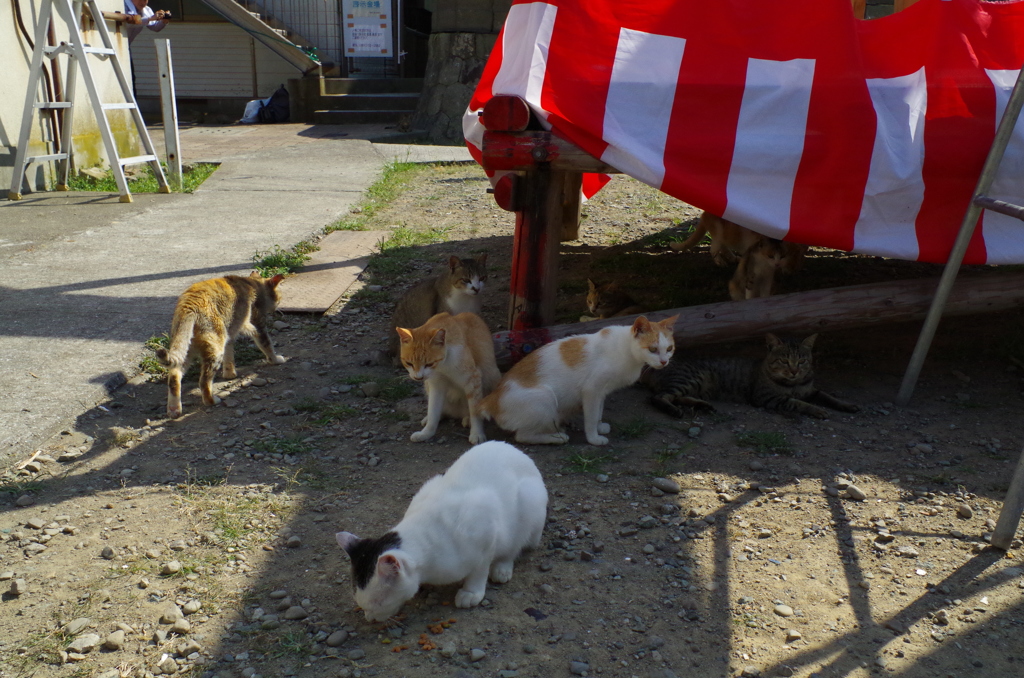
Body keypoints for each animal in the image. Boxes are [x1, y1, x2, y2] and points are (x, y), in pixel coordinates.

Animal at [157, 274, 290, 421]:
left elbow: (229, 355)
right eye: (279, 297)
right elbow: (266, 344)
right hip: (215, 348)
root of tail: (188, 305)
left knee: (174, 376)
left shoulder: (229, 334)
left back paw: (174, 409)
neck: (252, 284)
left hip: (187, 349)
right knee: (204, 381)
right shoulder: (255, 323)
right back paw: (212, 401)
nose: (276, 308)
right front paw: (275, 359)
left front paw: (229, 374)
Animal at [335, 444, 548, 622]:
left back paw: (502, 568)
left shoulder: (486, 531)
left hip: (529, 505)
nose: (369, 618)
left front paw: (471, 592)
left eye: (378, 602)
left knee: (515, 546)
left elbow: (480, 569)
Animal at [395, 311, 499, 446]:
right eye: (409, 363)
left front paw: (477, 434)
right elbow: (433, 410)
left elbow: (475, 411)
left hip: (492, 376)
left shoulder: (473, 380)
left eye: (429, 364)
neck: (442, 366)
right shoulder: (435, 385)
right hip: (428, 386)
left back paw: (468, 419)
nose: (418, 377)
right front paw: (426, 432)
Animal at [481, 317, 679, 448]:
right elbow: (590, 417)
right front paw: (594, 438)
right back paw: (557, 437)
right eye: (653, 349)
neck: (626, 351)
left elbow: (598, 412)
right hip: (545, 396)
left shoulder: (601, 392)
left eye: (669, 349)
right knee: (522, 436)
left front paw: (600, 426)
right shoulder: (591, 389)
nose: (664, 362)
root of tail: (491, 399)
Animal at [643, 333, 860, 419]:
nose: (794, 371)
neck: (794, 384)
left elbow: (827, 396)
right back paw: (674, 410)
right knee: (659, 397)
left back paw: (702, 405)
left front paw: (846, 405)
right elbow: (798, 403)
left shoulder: (811, 390)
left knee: (677, 396)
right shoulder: (768, 398)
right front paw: (817, 410)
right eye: (784, 361)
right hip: (690, 378)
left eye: (802, 361)